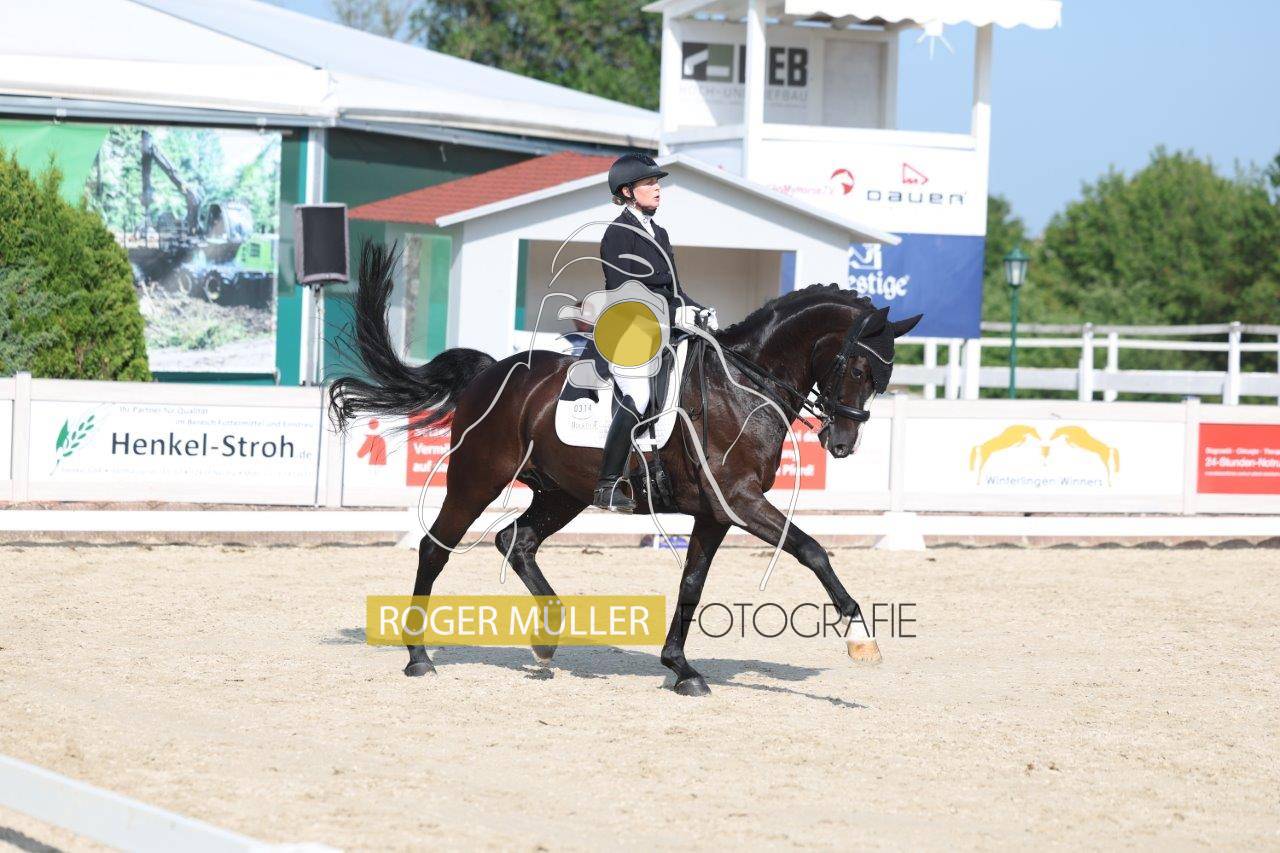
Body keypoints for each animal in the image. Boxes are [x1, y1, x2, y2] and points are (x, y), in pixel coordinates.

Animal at [329, 243, 921, 696]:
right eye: (859, 367)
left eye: (884, 376)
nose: (841, 442)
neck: (742, 384)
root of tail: (491, 372)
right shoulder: (740, 500)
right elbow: (811, 549)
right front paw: (861, 637)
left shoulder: (717, 512)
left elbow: (692, 584)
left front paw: (681, 669)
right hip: (477, 479)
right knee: (436, 548)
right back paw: (418, 656)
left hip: (562, 493)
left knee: (516, 541)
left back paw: (547, 639)